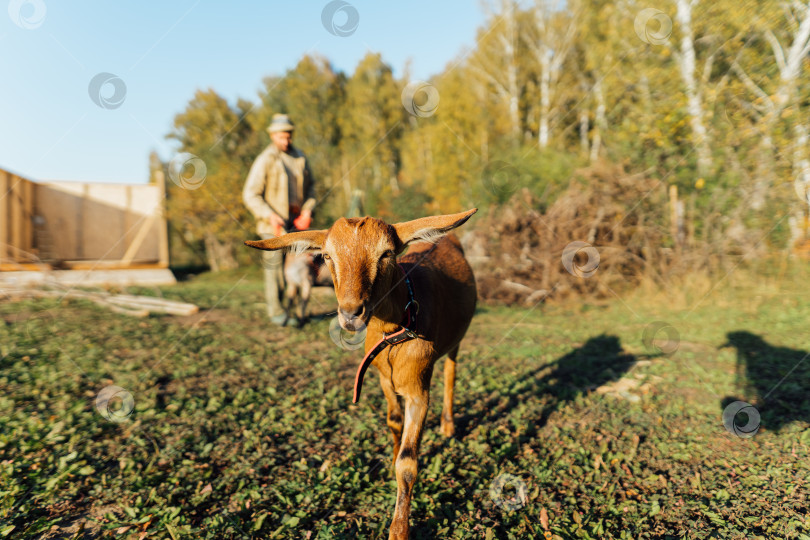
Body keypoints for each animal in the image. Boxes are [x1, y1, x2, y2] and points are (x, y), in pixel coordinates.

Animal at [243, 208, 476, 536]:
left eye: (387, 253)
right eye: (327, 255)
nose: (351, 313)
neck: (396, 332)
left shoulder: (418, 389)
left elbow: (408, 462)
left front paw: (399, 530)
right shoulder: (383, 377)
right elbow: (393, 422)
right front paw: (391, 458)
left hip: (456, 341)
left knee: (452, 372)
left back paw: (448, 426)